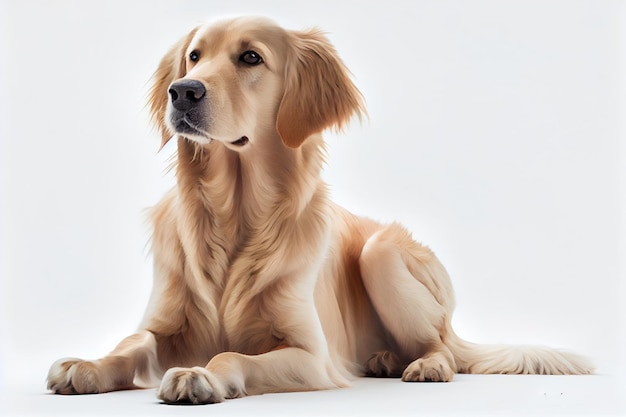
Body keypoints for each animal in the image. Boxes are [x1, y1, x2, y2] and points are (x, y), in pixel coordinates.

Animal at [45, 16, 588, 404]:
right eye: (193, 57)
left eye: (250, 57)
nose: (183, 92)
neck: (232, 215)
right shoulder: (162, 324)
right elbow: (131, 343)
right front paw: (88, 366)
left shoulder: (312, 356)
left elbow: (231, 354)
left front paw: (200, 373)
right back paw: (386, 358)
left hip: (381, 253)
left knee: (440, 345)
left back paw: (425, 365)